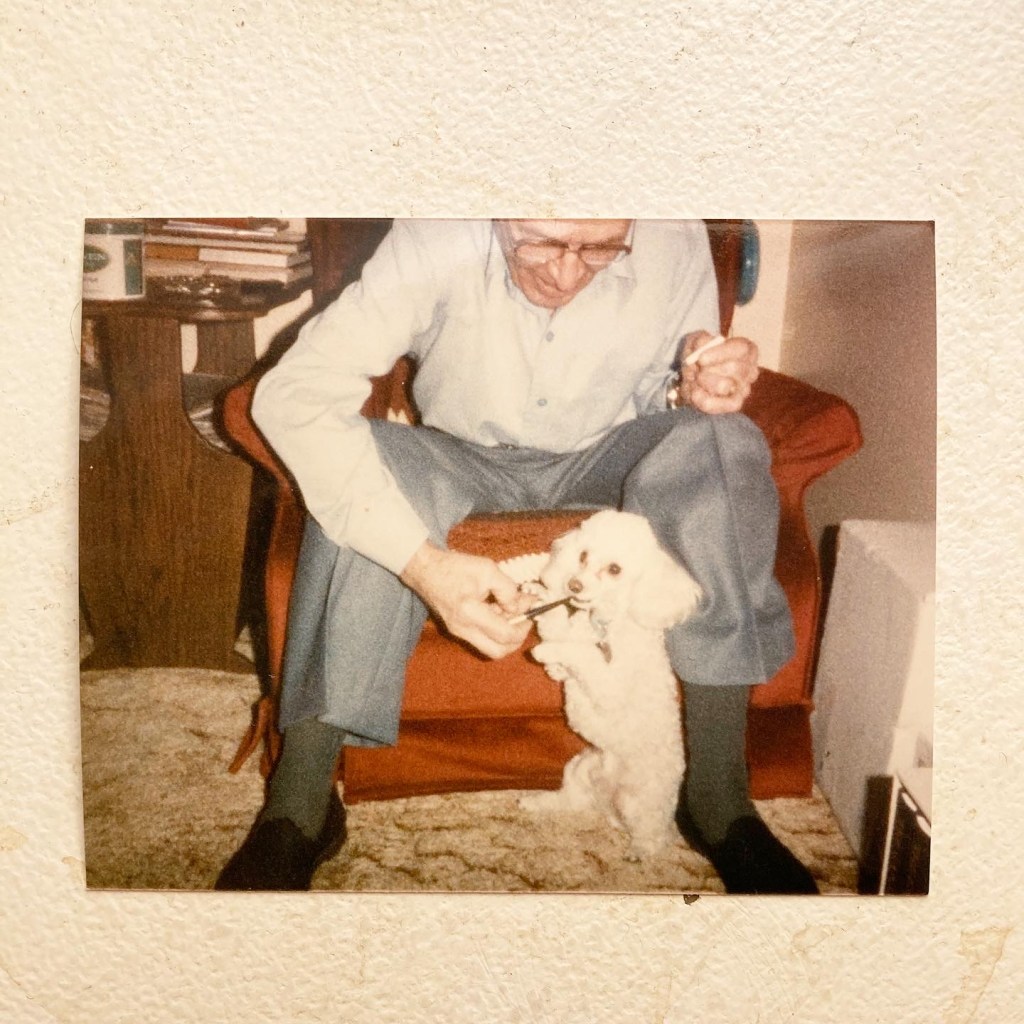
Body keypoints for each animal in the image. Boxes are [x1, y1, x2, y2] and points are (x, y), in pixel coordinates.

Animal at [519, 510, 703, 860]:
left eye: (615, 569)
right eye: (583, 556)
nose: (573, 585)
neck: (604, 623)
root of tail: (606, 805)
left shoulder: (609, 688)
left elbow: (581, 655)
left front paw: (549, 652)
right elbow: (555, 625)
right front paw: (542, 595)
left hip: (639, 802)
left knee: (653, 836)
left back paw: (640, 852)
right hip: (579, 768)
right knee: (569, 802)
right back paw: (535, 802)